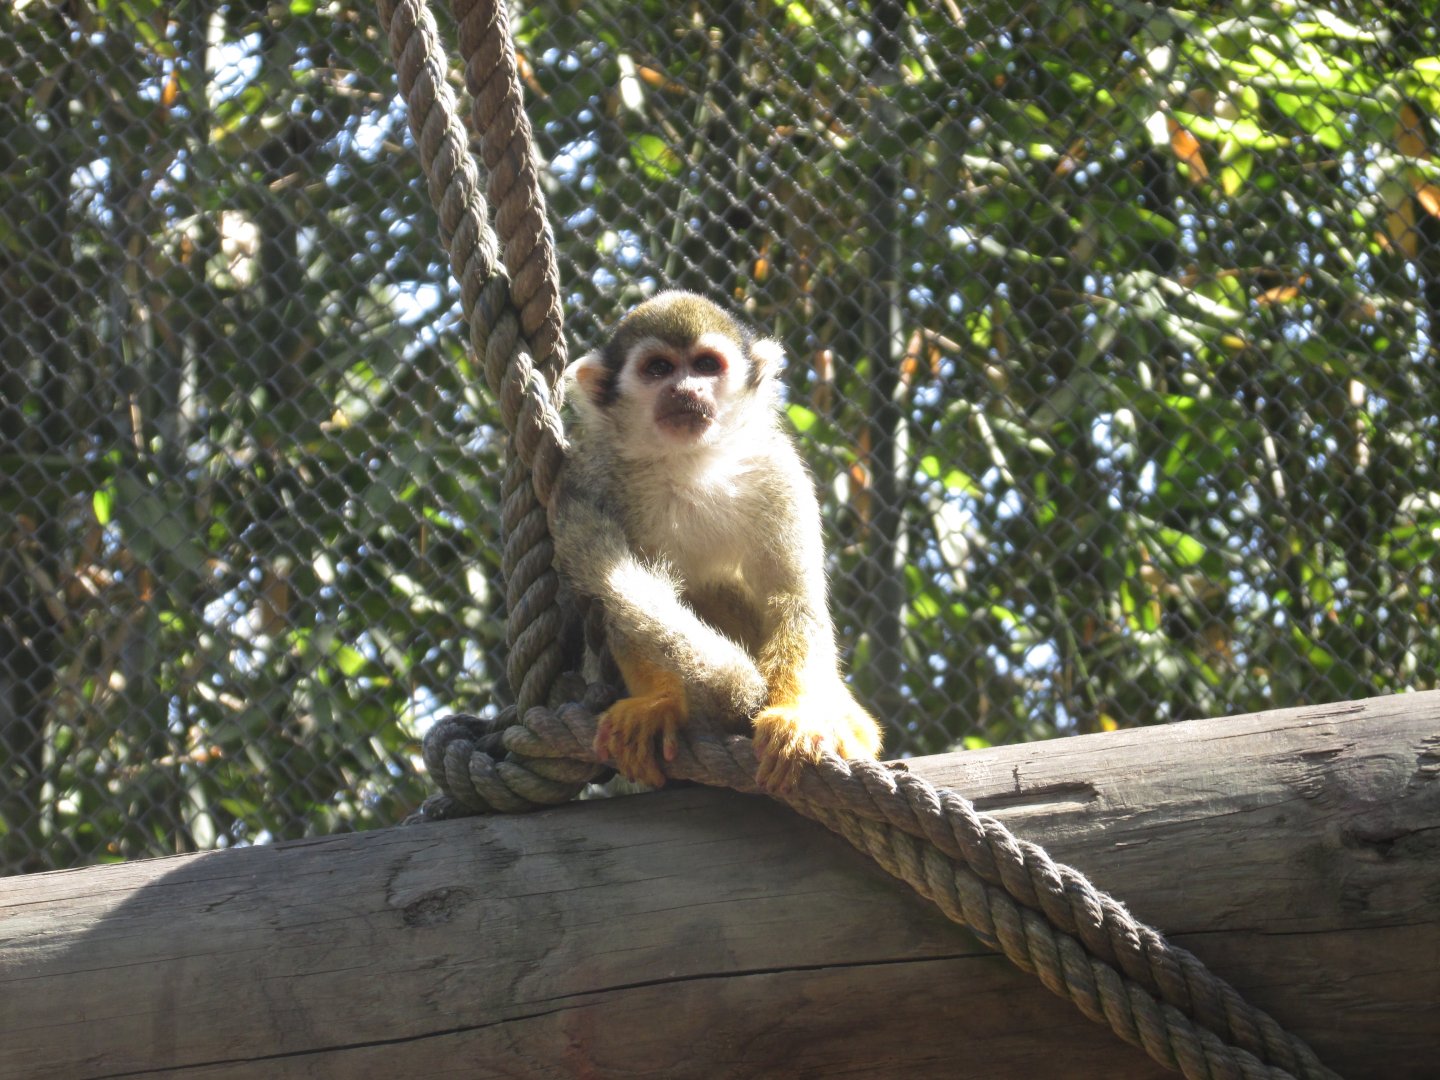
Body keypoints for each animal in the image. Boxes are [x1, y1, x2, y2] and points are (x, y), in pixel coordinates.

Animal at [550, 290, 882, 793]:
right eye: (658, 369)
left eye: (706, 365)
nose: (686, 390)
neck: (688, 463)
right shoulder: (595, 478)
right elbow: (618, 613)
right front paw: (659, 703)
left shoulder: (776, 468)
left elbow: (793, 599)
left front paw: (796, 713)